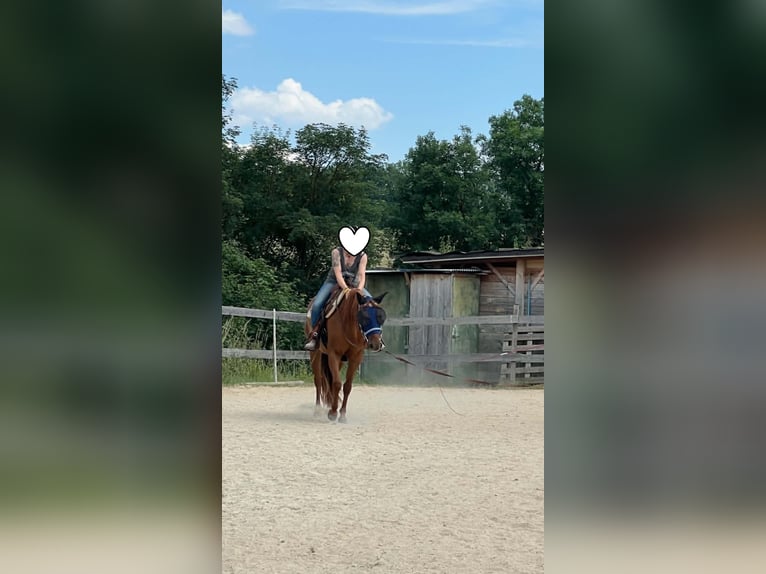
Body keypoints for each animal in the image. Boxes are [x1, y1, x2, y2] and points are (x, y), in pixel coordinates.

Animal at [305, 287, 387, 422]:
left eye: (381, 317)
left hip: (340, 362)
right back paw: (317, 410)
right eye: (364, 317)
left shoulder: (355, 358)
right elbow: (337, 383)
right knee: (318, 381)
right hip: (315, 354)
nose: (376, 343)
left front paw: (342, 414)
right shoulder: (334, 354)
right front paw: (333, 413)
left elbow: (347, 386)